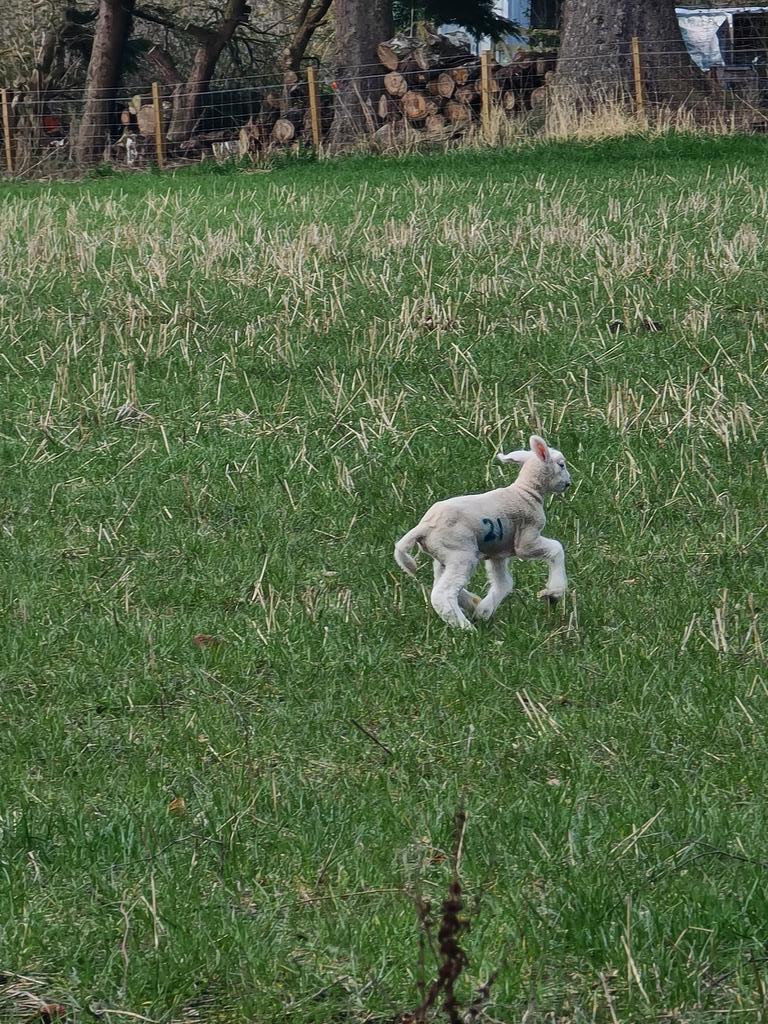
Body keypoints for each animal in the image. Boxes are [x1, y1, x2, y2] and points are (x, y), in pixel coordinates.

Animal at [397, 434, 573, 626]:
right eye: (561, 464)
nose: (568, 483)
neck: (526, 492)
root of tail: (423, 527)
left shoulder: (498, 552)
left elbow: (504, 583)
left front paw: (484, 611)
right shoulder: (526, 539)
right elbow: (556, 548)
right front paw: (554, 592)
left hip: (443, 555)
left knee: (439, 582)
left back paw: (471, 603)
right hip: (460, 552)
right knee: (442, 593)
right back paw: (464, 627)